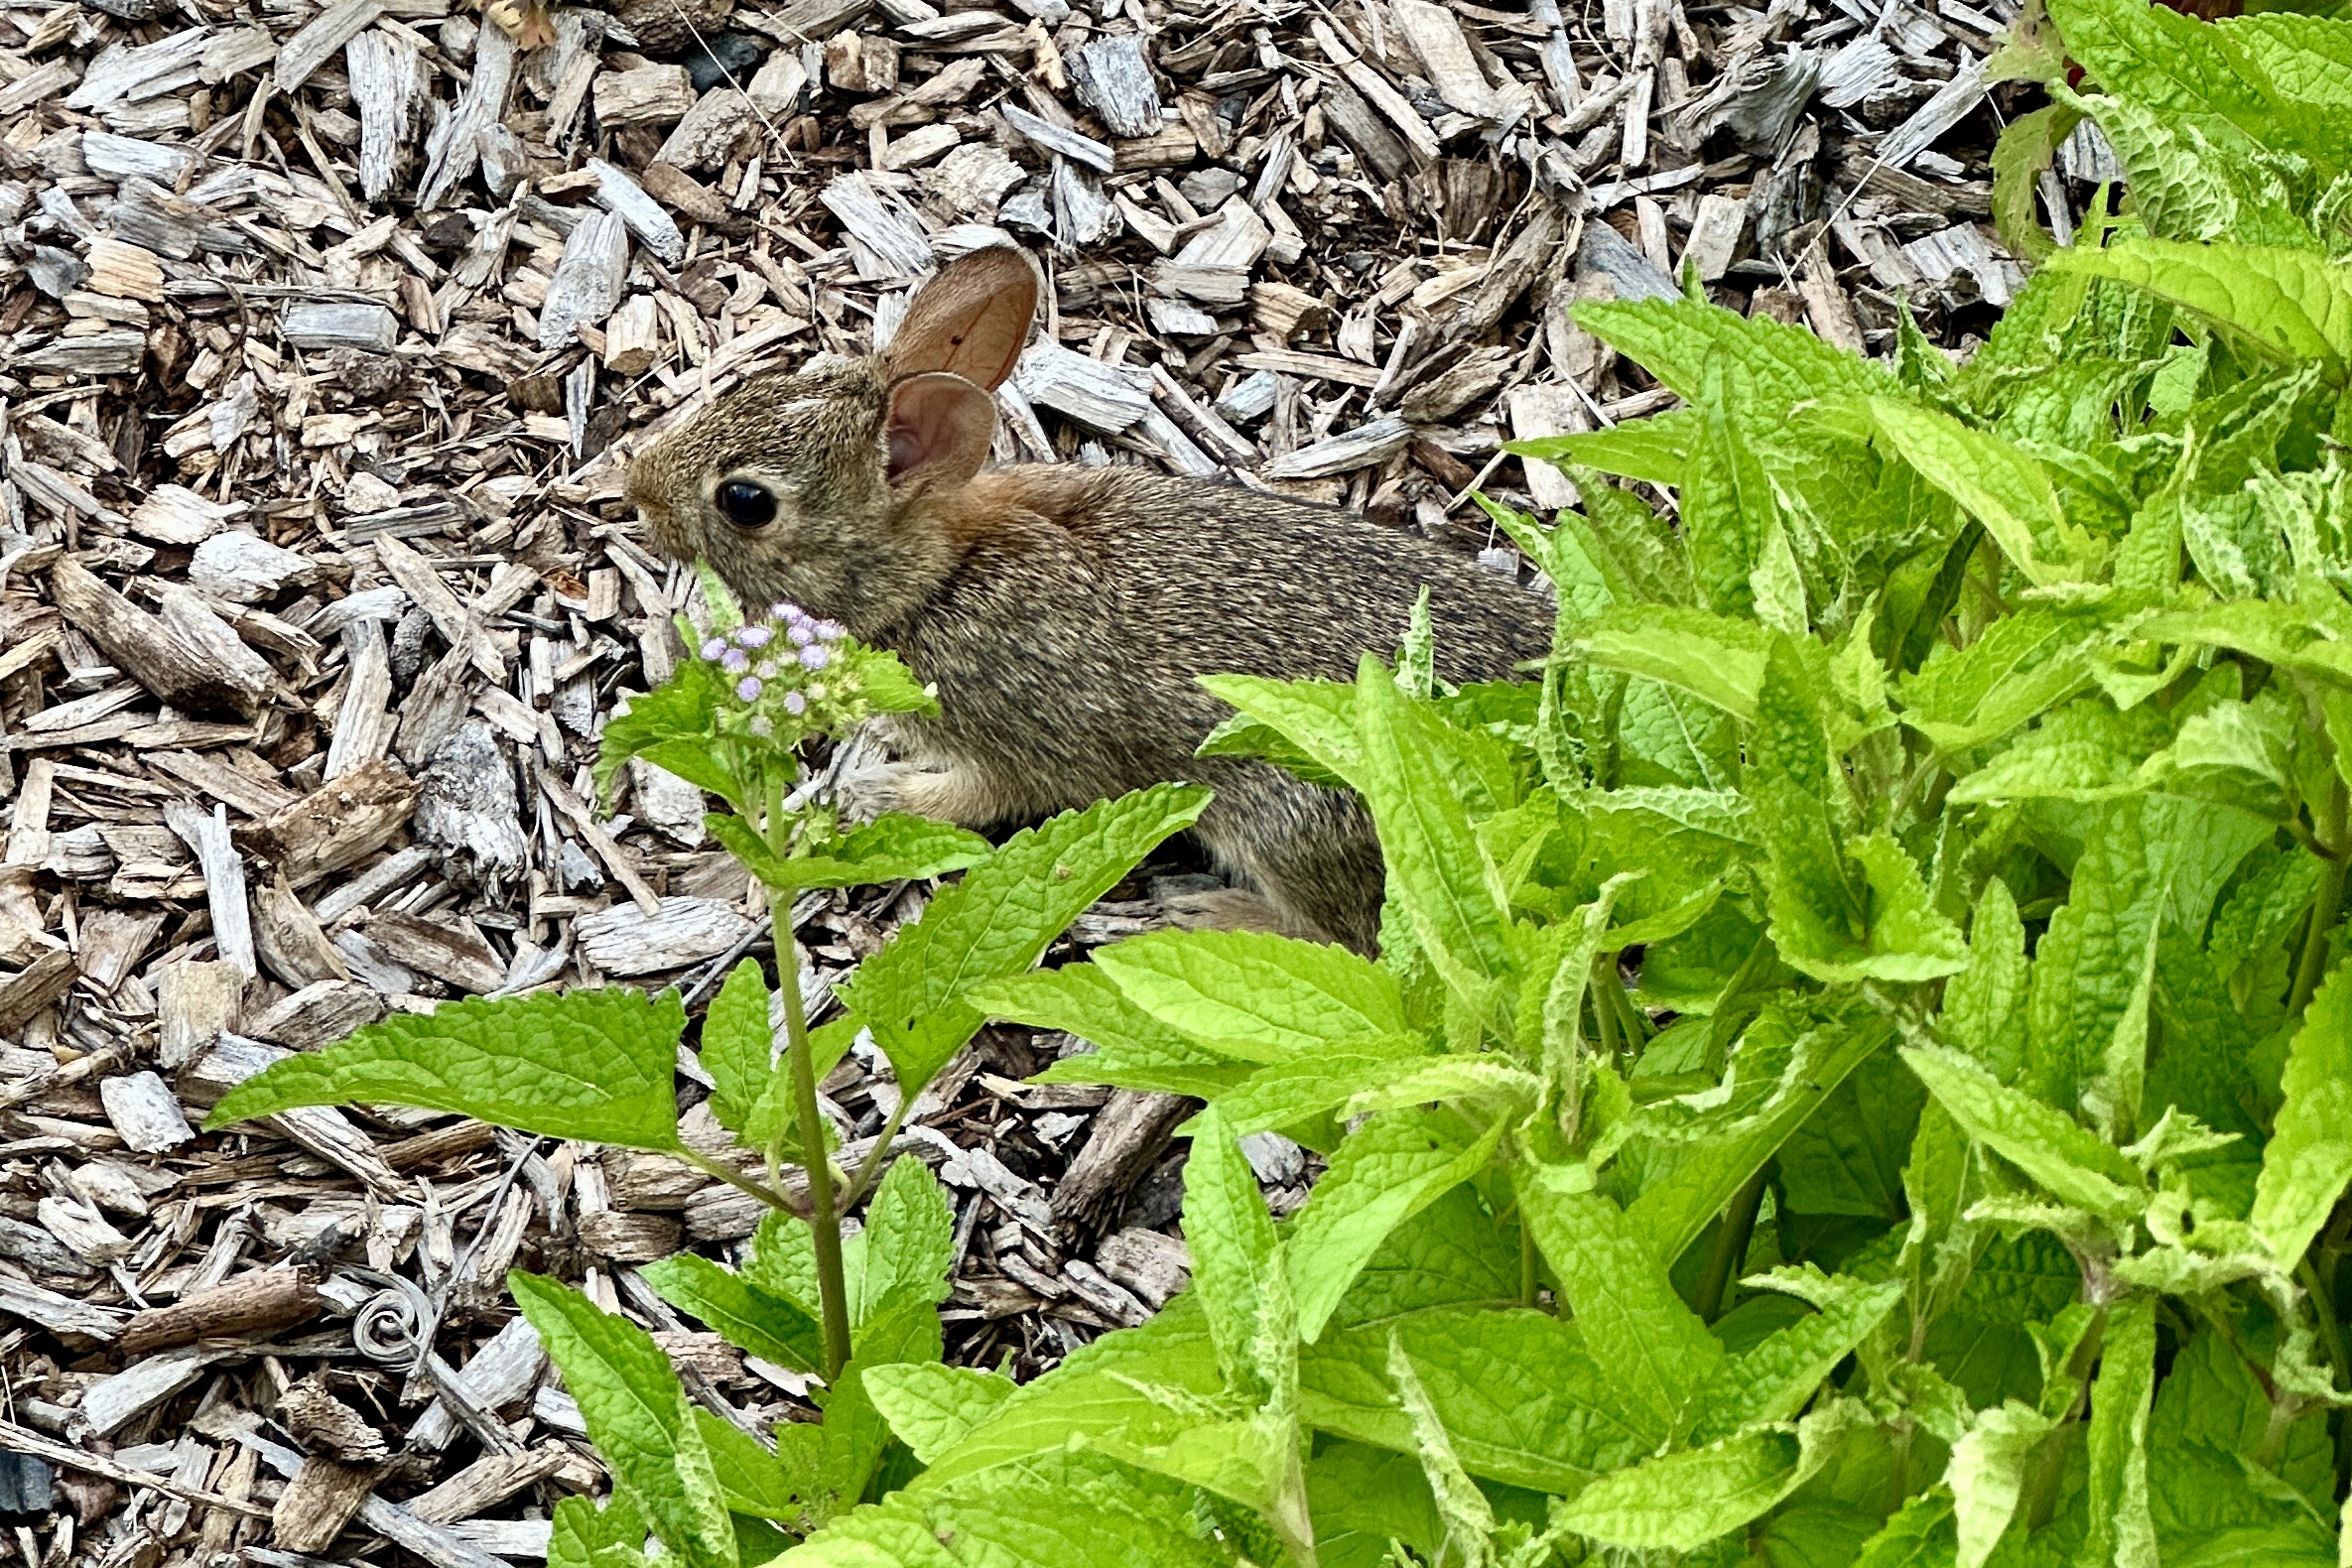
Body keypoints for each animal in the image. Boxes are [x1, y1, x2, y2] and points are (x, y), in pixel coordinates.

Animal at [625, 243, 1553, 954]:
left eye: (745, 501)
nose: (637, 487)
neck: (939, 578)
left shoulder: (1026, 745)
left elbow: (985, 800)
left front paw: (877, 797)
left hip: (1292, 823)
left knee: (1350, 935)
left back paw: (1204, 913)